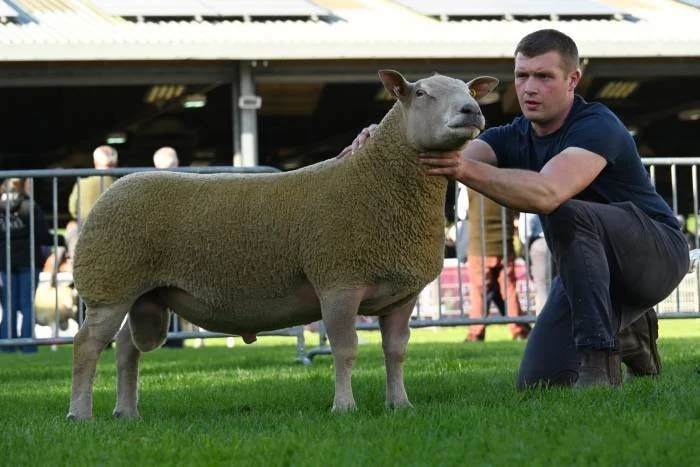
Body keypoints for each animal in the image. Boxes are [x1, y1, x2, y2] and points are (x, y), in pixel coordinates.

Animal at [66, 70, 499, 420]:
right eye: (422, 92)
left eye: (468, 90)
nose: (471, 110)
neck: (374, 181)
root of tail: (115, 188)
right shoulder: (338, 281)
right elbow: (346, 349)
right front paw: (344, 407)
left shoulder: (401, 295)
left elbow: (395, 351)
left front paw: (400, 404)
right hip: (110, 283)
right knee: (87, 345)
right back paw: (80, 415)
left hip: (145, 294)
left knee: (126, 347)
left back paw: (127, 412)